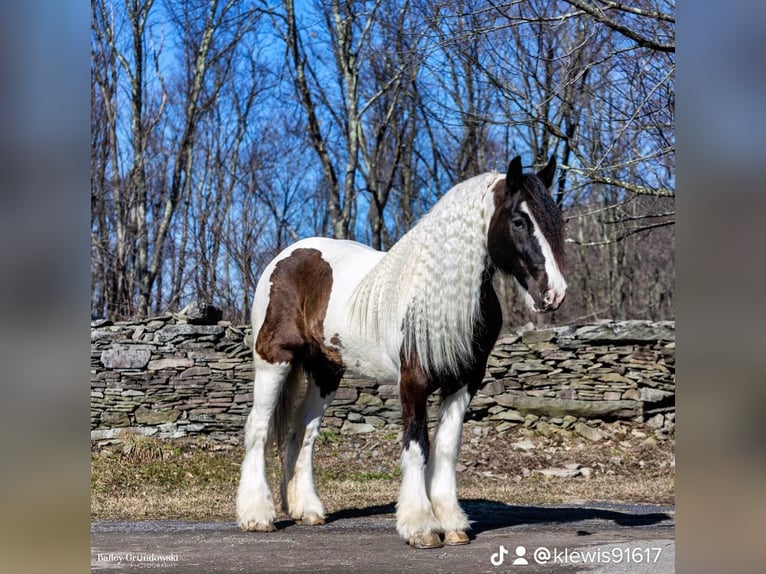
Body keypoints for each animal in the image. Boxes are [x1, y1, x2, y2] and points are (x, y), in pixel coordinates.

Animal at [237, 155, 568, 552]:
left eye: (556, 221)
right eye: (519, 220)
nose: (554, 294)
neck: (439, 294)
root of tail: (285, 257)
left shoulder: (464, 381)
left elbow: (446, 447)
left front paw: (452, 524)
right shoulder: (413, 382)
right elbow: (416, 444)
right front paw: (421, 527)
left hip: (326, 372)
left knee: (304, 431)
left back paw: (307, 511)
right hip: (274, 360)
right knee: (258, 427)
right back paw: (257, 516)